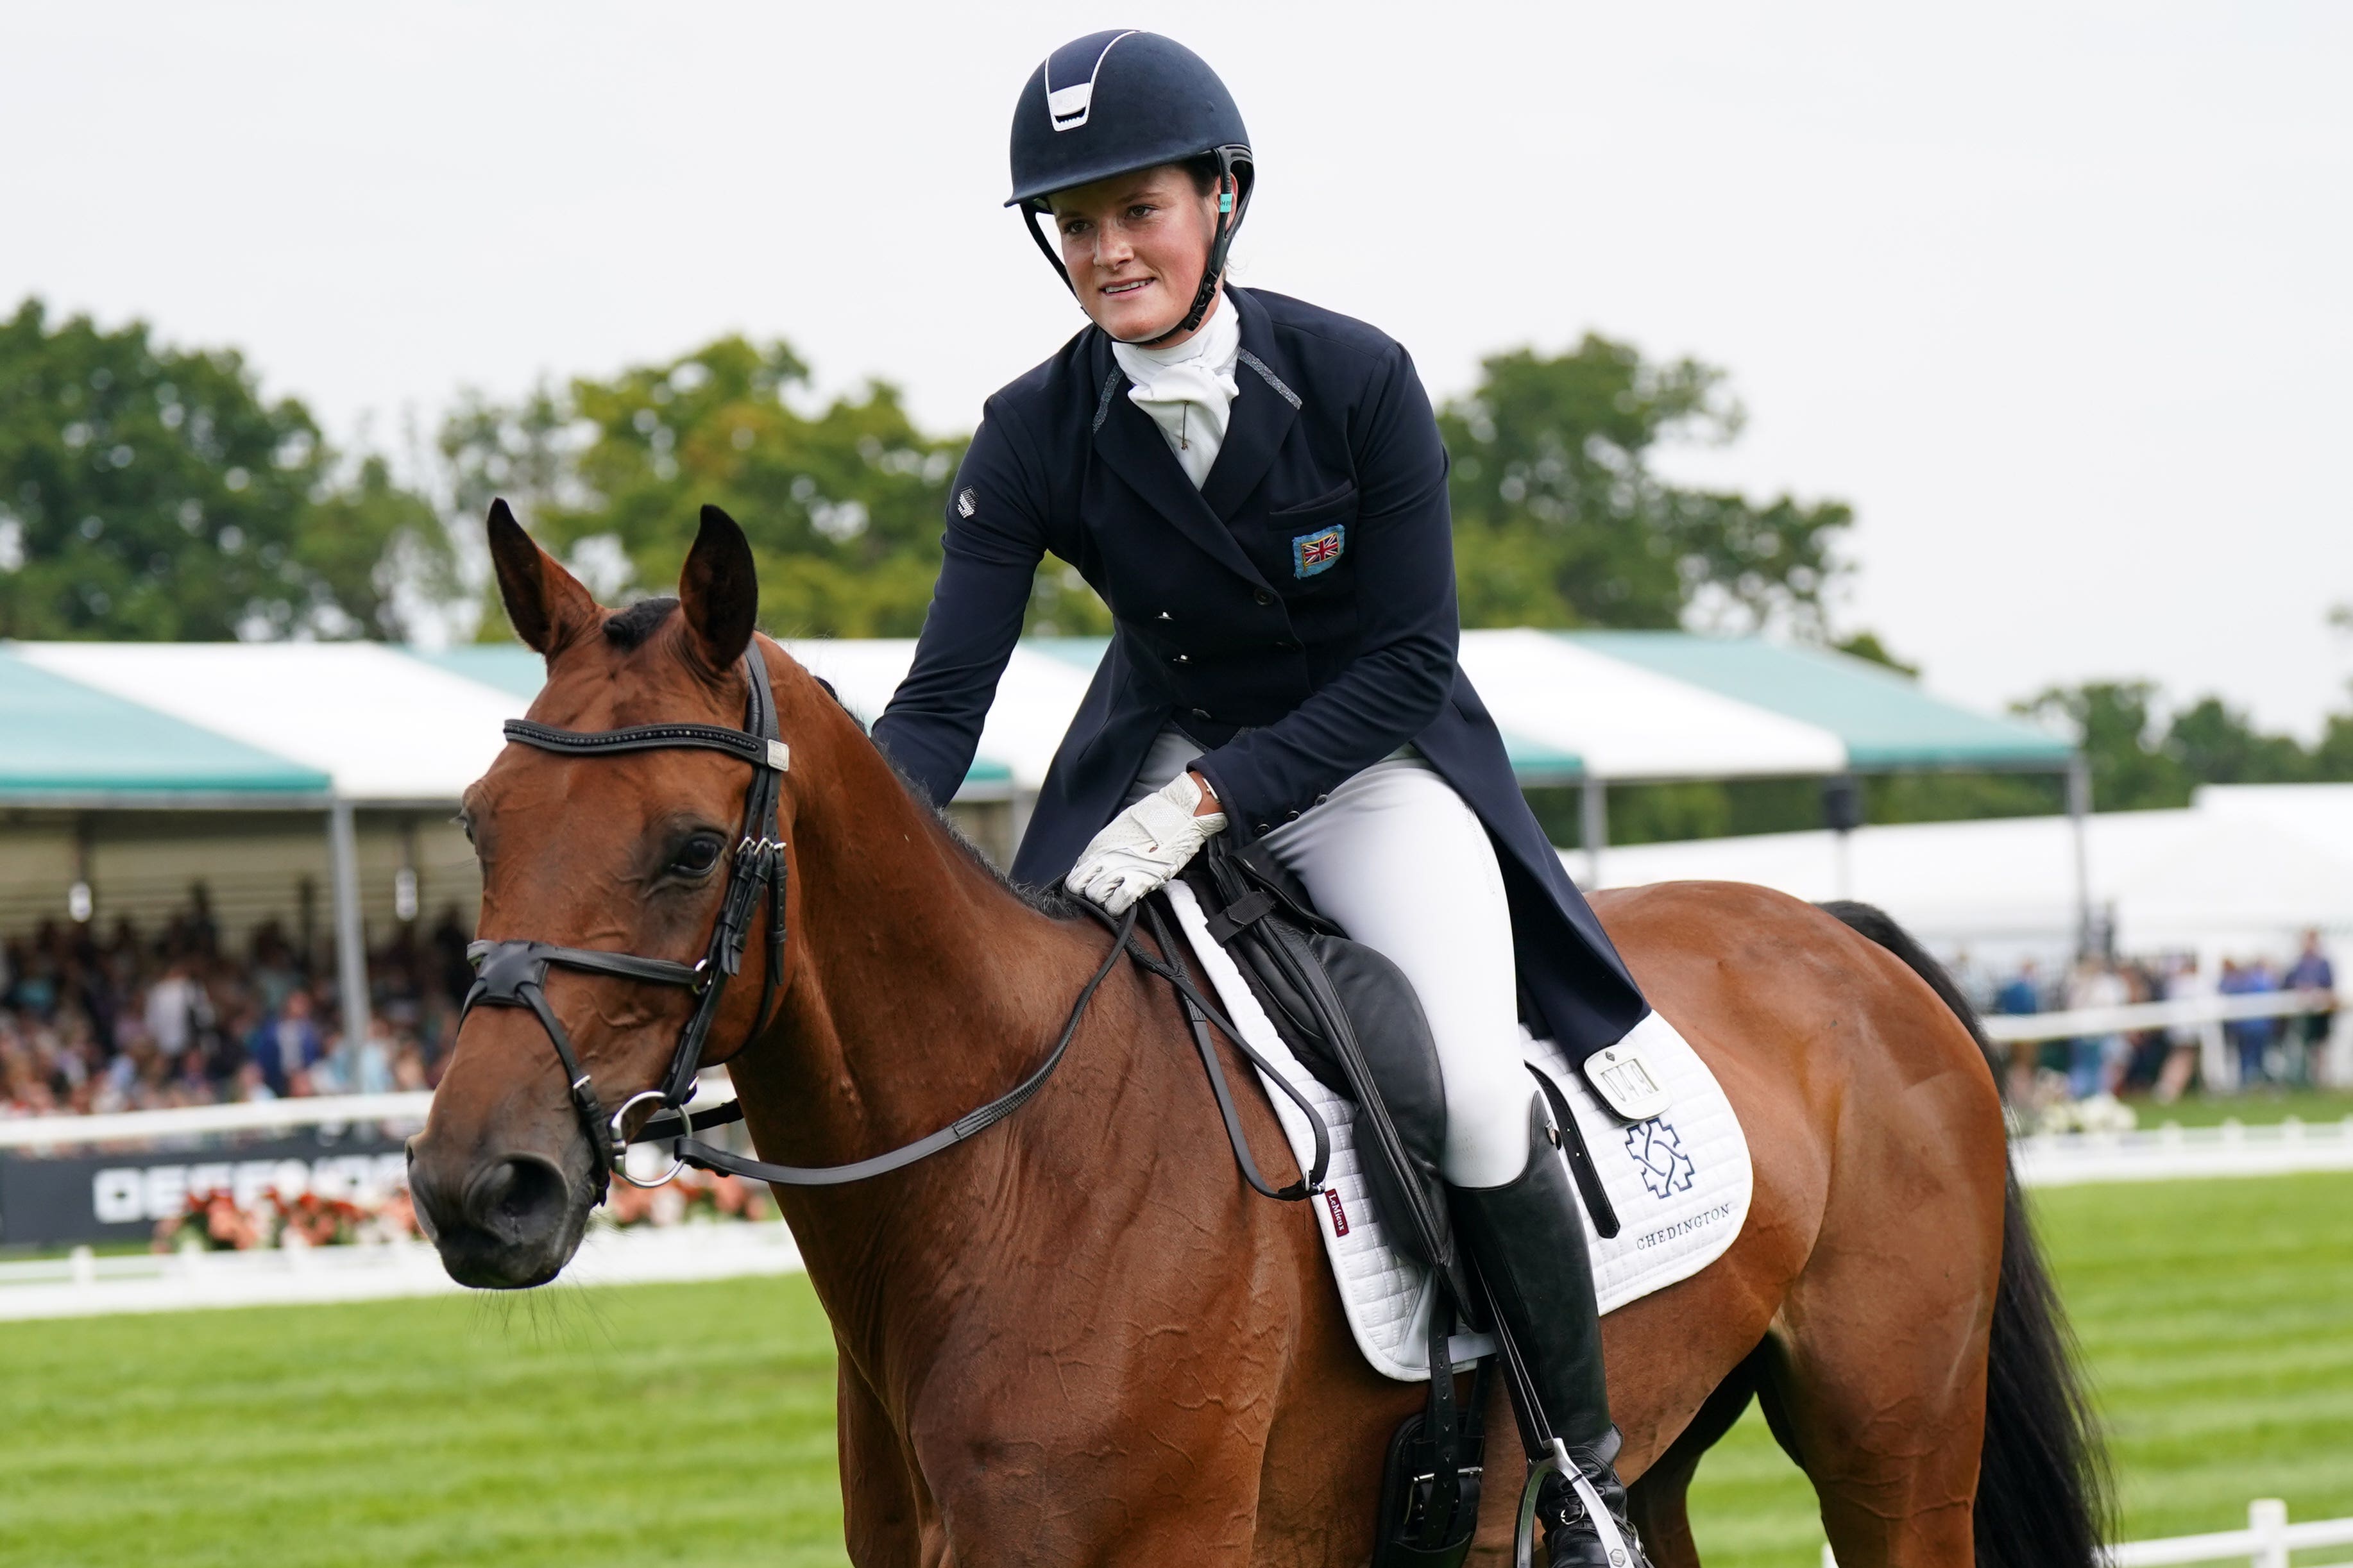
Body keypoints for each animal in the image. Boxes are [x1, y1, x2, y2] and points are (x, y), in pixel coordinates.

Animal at [409, 505, 2118, 1568]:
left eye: (693, 847)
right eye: (480, 823)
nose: (476, 1190)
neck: (1012, 1178)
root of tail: (1840, 934)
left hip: (1894, 1448)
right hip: (1671, 1444)